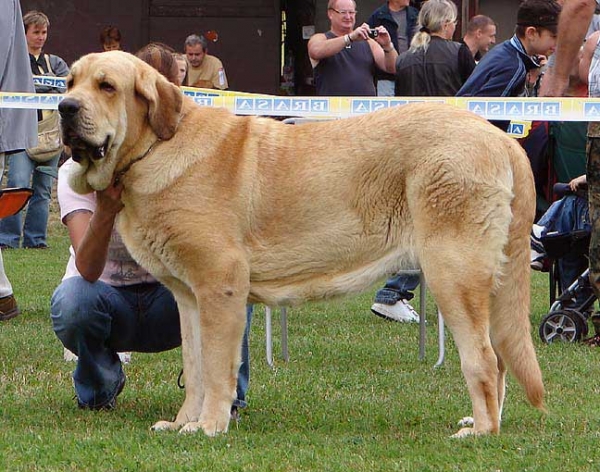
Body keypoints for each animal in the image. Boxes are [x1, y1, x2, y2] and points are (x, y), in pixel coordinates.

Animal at [58, 50, 548, 436]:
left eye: (106, 86)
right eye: (69, 82)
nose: (64, 107)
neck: (154, 149)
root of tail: (501, 138)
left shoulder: (220, 288)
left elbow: (216, 368)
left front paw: (210, 426)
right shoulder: (190, 298)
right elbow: (195, 369)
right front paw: (184, 423)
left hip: (453, 276)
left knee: (483, 358)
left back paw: (481, 431)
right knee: (500, 358)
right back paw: (485, 421)